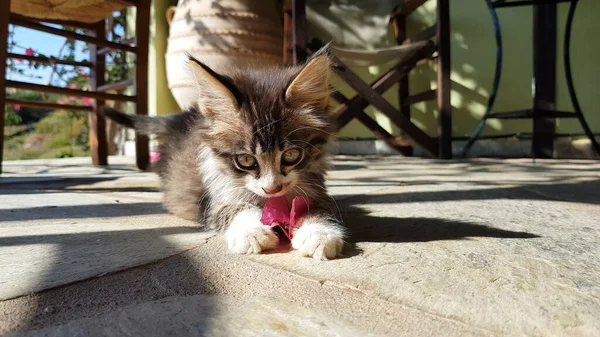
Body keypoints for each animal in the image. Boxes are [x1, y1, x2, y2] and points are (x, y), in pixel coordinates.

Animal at [102, 50, 344, 260]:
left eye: (292, 155)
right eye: (245, 160)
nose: (271, 189)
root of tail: (181, 118)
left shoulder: (314, 186)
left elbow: (318, 207)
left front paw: (319, 233)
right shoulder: (214, 194)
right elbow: (231, 208)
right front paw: (251, 231)